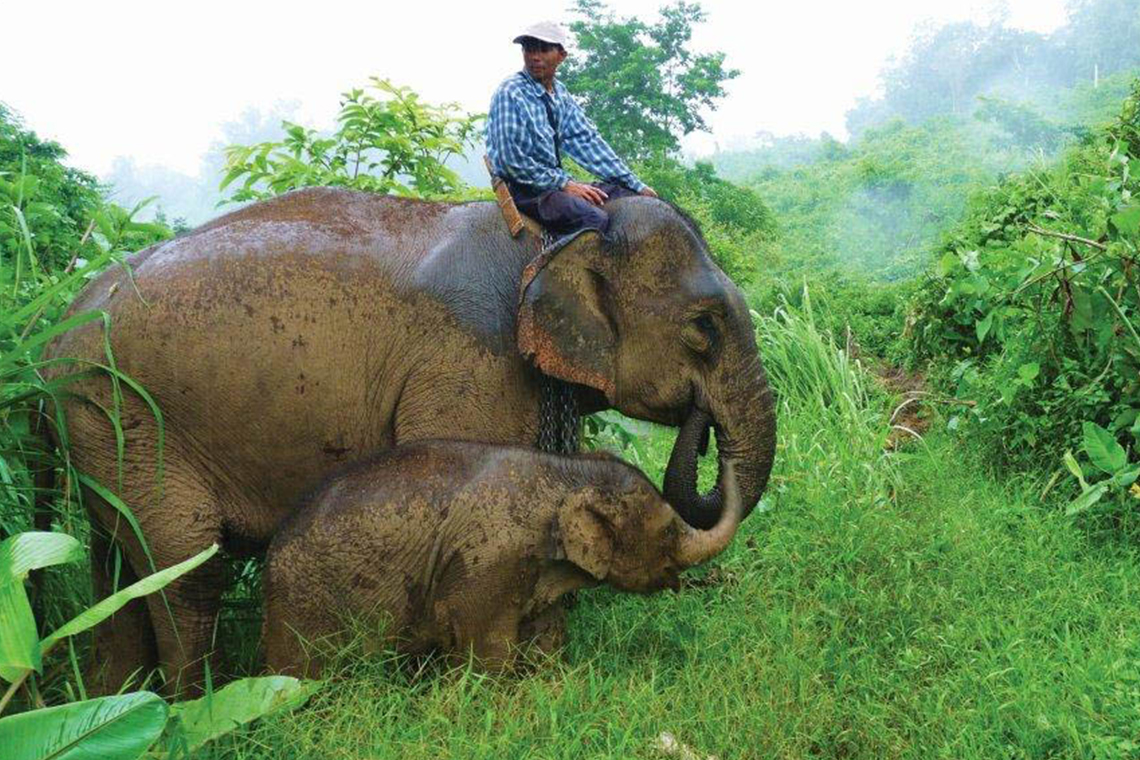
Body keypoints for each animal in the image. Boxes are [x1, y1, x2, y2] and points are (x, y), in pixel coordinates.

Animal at [264, 427, 741, 676]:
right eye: (668, 530)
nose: (720, 450)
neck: (566, 472)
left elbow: (546, 633)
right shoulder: (491, 557)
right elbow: (485, 642)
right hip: (304, 608)